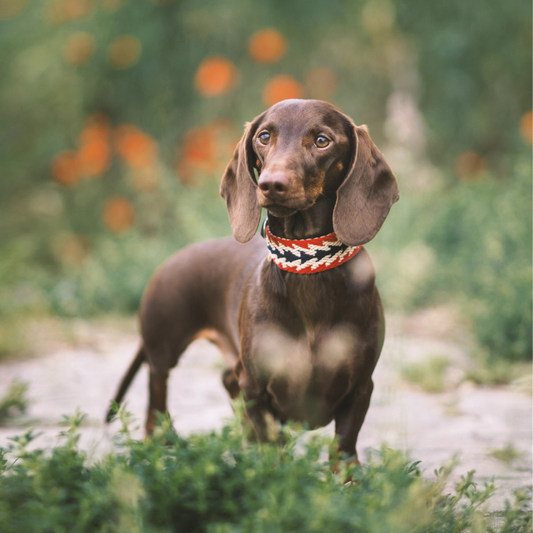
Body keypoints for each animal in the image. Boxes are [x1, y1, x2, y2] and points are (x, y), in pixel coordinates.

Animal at [108, 101, 396, 462]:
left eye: (322, 140)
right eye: (264, 136)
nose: (271, 184)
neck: (309, 274)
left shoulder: (360, 388)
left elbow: (343, 449)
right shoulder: (256, 389)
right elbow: (274, 447)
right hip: (163, 350)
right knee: (156, 402)